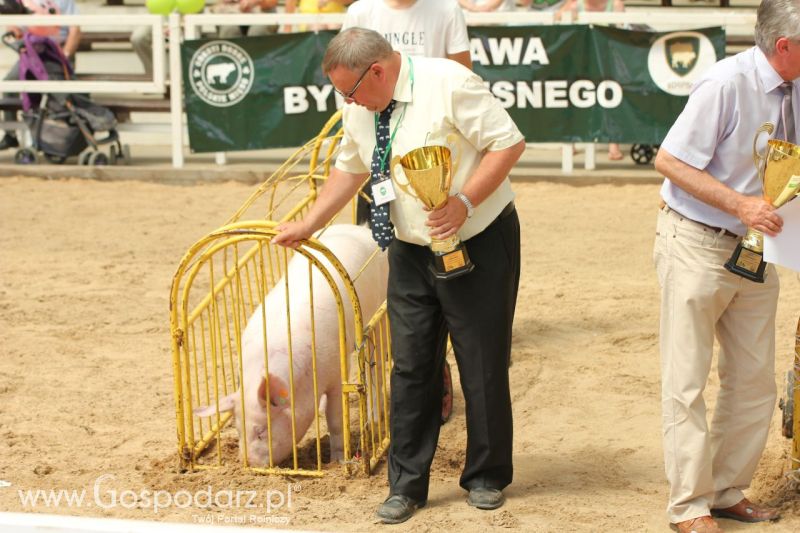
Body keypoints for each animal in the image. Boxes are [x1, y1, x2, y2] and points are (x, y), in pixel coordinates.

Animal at [197, 224, 390, 466]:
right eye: (238, 430)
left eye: (261, 431)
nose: (249, 465)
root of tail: (358, 229)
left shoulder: (336, 372)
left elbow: (336, 419)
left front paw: (336, 461)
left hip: (377, 320)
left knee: (376, 373)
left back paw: (374, 419)